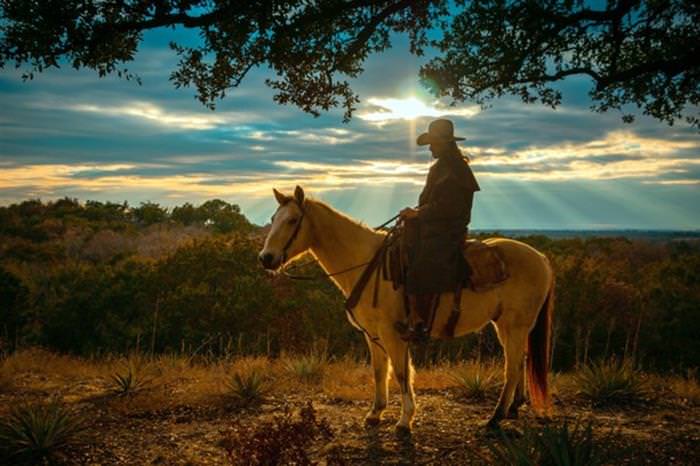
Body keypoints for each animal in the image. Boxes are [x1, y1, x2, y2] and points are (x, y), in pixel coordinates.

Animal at [260, 187, 556, 434]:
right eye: (273, 218)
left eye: (292, 220)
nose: (266, 258)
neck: (367, 264)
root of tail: (541, 258)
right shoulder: (372, 335)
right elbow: (380, 372)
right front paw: (375, 414)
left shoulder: (393, 335)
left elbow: (402, 373)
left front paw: (404, 421)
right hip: (508, 326)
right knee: (522, 360)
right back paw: (514, 407)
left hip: (513, 325)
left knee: (512, 367)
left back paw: (495, 418)